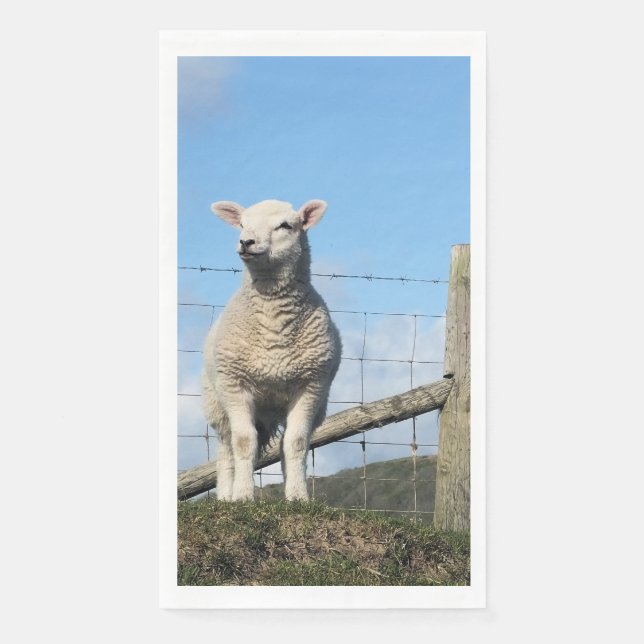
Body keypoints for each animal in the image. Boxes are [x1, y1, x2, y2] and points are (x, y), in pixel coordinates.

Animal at [202, 199, 342, 501]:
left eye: (285, 226)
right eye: (242, 224)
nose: (246, 242)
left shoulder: (310, 386)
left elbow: (297, 443)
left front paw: (298, 497)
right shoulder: (235, 384)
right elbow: (244, 442)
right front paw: (243, 496)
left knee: (284, 445)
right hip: (217, 403)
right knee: (227, 450)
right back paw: (226, 496)